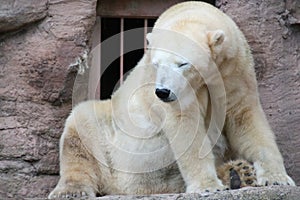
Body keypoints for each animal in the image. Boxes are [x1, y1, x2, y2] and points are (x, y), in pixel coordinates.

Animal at [49, 1, 296, 198]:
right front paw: (208, 186)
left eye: (182, 63)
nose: (162, 92)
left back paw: (239, 173)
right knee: (80, 128)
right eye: (157, 64)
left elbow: (245, 118)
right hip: (111, 139)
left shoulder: (235, 70)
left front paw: (277, 177)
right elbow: (186, 126)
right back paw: (71, 190)